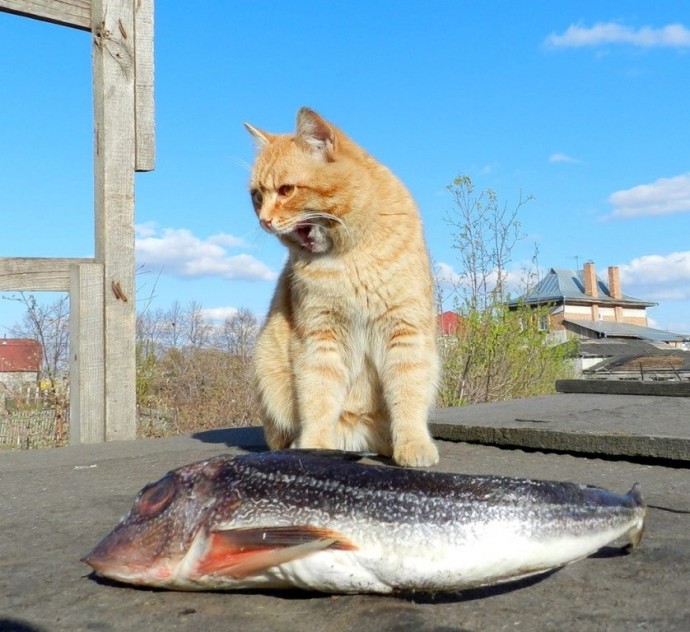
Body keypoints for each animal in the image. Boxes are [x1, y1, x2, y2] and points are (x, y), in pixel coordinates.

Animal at [243, 107, 436, 464]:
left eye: (286, 190)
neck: (349, 259)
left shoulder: (404, 331)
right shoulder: (320, 337)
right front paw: (316, 446)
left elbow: (408, 393)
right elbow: (318, 397)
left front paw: (413, 444)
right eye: (257, 196)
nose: (264, 221)